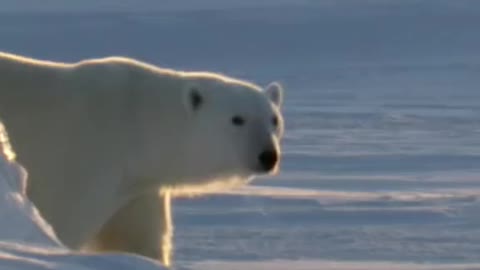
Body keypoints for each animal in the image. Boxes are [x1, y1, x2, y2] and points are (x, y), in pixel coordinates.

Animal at [0, 51, 284, 266]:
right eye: (237, 119)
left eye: (274, 119)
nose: (268, 156)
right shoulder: (81, 161)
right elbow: (62, 222)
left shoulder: (137, 188)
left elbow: (136, 240)